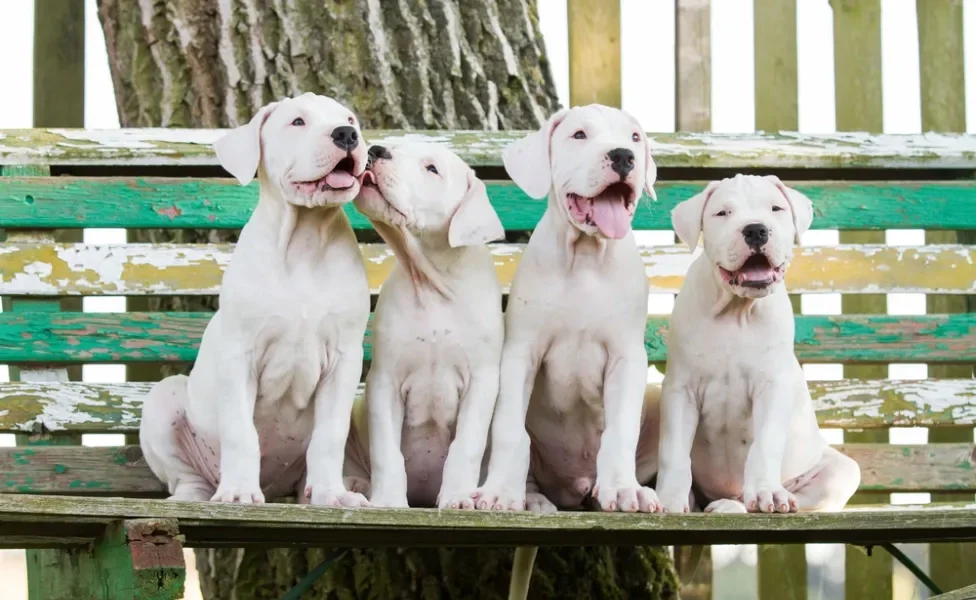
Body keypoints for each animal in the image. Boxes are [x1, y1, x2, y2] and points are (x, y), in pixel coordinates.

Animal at [142, 94, 374, 506]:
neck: (304, 241)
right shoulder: (239, 355)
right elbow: (241, 433)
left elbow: (329, 436)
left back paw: (325, 491)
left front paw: (333, 495)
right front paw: (237, 493)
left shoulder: (344, 361)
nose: (347, 135)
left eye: (350, 120)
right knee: (188, 477)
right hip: (163, 402)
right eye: (297, 122)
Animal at [346, 141, 504, 506]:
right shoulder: (384, 381)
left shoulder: (482, 381)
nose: (376, 150)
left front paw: (457, 497)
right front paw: (388, 502)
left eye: (432, 169)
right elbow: (386, 452)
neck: (434, 287)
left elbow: (467, 445)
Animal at [472, 105, 664, 512]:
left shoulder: (627, 357)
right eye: (579, 135)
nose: (623, 156)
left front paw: (623, 488)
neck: (587, 258)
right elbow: (510, 429)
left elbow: (620, 429)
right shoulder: (520, 353)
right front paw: (500, 491)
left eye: (635, 138)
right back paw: (531, 498)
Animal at [652, 175, 856, 516]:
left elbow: (766, 443)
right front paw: (669, 499)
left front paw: (765, 493)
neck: (736, 312)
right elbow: (673, 450)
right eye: (722, 213)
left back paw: (737, 504)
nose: (756, 230)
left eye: (775, 209)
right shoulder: (681, 390)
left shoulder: (772, 387)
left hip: (840, 471)